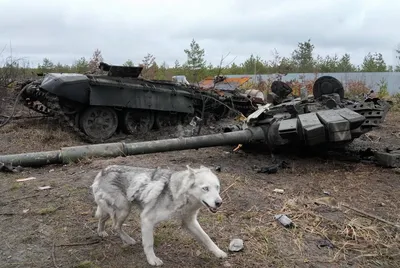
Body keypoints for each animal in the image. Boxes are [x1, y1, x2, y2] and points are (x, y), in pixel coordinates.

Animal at [91, 164, 228, 264]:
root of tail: (103, 171)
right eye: (205, 188)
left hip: (117, 210)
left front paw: (219, 252)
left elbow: (206, 238)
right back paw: (127, 239)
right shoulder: (146, 219)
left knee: (104, 219)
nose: (219, 203)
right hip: (124, 209)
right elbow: (149, 243)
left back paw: (101, 232)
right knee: (115, 226)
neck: (179, 194)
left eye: (217, 187)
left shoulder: (190, 222)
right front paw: (152, 260)